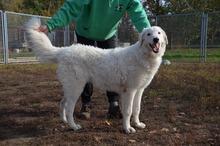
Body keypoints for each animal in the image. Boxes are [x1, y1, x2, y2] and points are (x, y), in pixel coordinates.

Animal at [24, 18, 168, 133]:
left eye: (159, 33)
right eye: (149, 34)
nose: (156, 39)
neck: (143, 56)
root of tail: (64, 50)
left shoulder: (139, 91)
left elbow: (137, 109)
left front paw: (137, 124)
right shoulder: (129, 91)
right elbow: (128, 112)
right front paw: (127, 128)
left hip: (70, 88)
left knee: (62, 103)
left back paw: (64, 121)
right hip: (76, 88)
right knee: (69, 108)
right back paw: (73, 126)